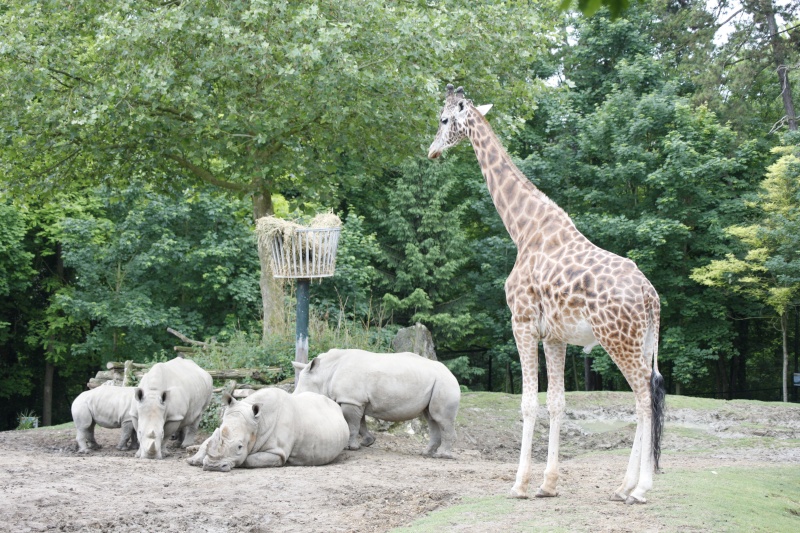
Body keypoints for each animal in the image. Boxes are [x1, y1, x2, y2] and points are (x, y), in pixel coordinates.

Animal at [428, 84, 664, 502]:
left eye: (443, 120)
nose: (432, 151)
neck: (523, 229)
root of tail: (650, 297)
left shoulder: (521, 322)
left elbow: (528, 404)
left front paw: (519, 484)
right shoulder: (555, 335)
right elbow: (556, 403)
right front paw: (548, 484)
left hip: (619, 340)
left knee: (644, 399)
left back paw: (638, 489)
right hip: (646, 341)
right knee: (644, 397)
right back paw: (623, 486)